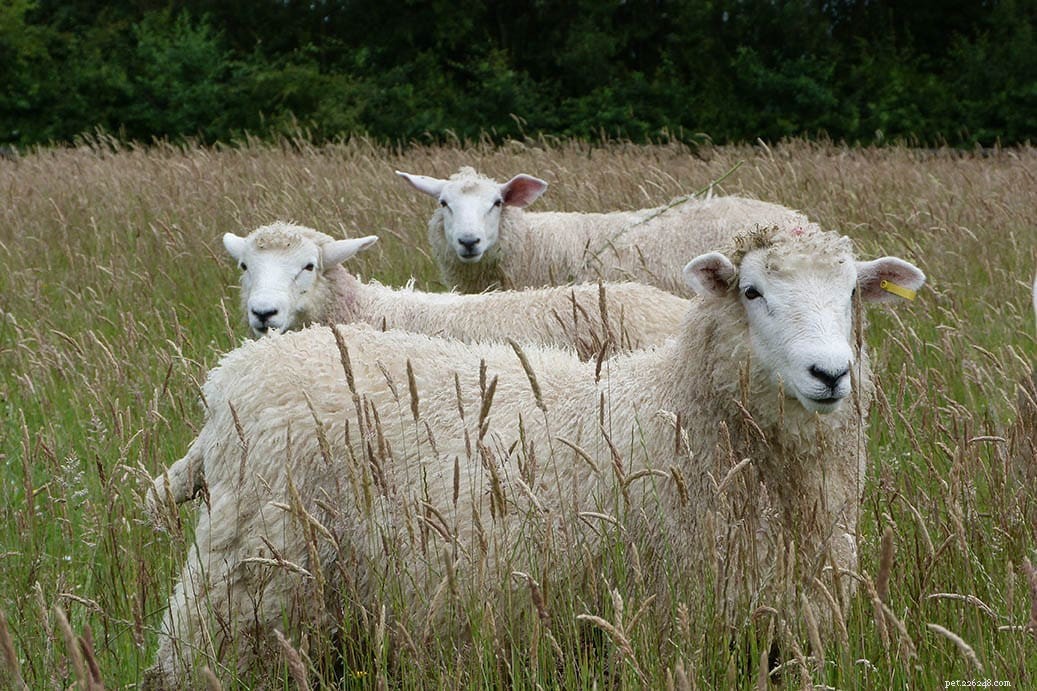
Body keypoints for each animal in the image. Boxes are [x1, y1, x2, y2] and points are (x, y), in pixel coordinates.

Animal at [144, 225, 925, 687]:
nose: (829, 373)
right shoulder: (675, 624)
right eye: (753, 291)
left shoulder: (787, 631)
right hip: (235, 586)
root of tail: (234, 375)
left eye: (852, 294)